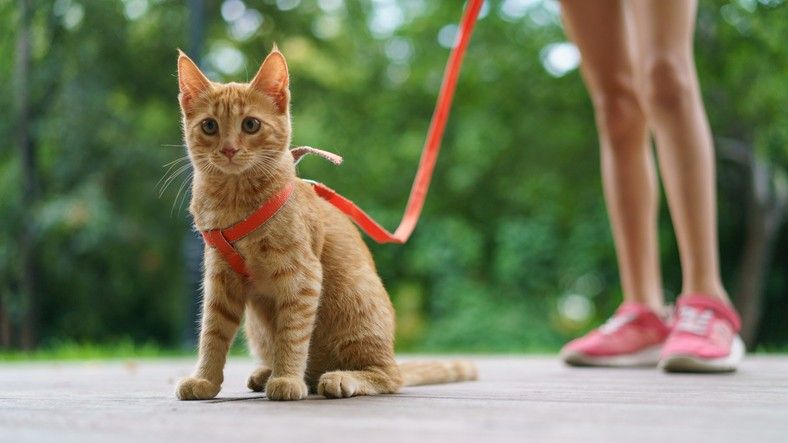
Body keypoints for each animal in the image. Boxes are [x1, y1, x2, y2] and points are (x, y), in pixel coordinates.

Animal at [175, 48, 478, 402]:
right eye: (209, 126)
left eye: (250, 124)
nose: (228, 149)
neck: (234, 202)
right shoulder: (221, 278)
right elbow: (213, 332)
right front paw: (205, 380)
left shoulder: (301, 275)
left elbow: (292, 334)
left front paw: (287, 379)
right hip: (257, 326)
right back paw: (267, 373)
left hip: (356, 305)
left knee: (389, 376)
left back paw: (338, 378)